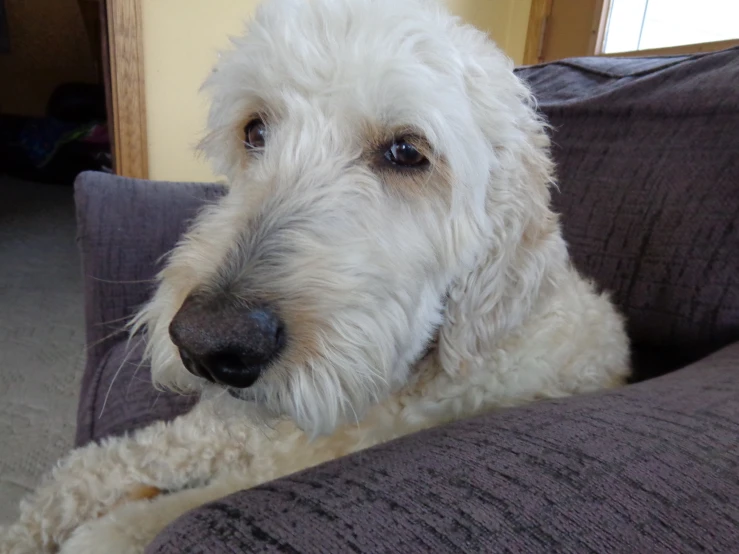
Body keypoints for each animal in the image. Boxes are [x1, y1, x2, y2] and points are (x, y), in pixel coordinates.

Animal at [0, 0, 632, 548]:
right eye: (254, 130)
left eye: (407, 152)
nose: (208, 344)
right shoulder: (214, 428)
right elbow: (94, 465)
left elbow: (132, 523)